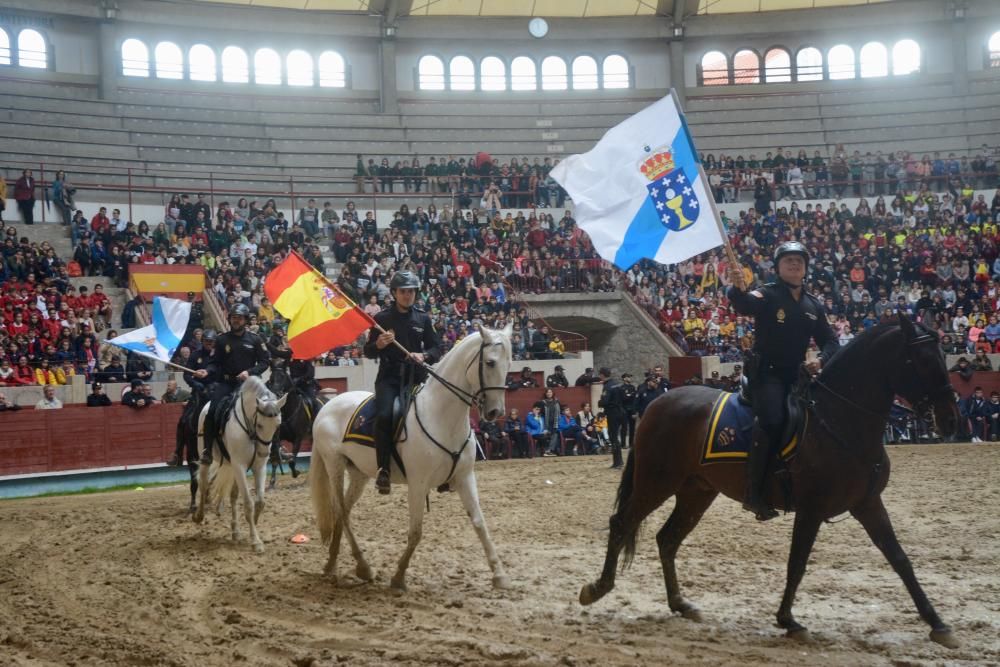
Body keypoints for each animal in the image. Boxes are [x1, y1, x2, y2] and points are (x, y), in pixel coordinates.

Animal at [192, 376, 288, 552]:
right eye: (260, 425)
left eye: (277, 425)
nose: (264, 453)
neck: (250, 430)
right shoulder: (240, 467)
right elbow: (249, 503)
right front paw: (256, 541)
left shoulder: (259, 467)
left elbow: (260, 501)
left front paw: (255, 522)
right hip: (208, 459)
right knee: (203, 485)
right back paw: (199, 516)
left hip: (232, 468)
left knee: (233, 496)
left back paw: (235, 531)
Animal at [310, 324, 516, 588]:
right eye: (490, 362)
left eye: (508, 363)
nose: (495, 412)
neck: (442, 416)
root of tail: (327, 405)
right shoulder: (418, 484)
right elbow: (416, 532)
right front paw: (398, 576)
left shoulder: (465, 478)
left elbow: (480, 524)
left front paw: (499, 575)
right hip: (334, 464)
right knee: (342, 513)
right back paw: (363, 567)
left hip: (359, 474)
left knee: (342, 511)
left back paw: (333, 564)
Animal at [584, 316, 964, 648]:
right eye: (920, 360)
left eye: (941, 357)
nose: (950, 420)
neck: (838, 420)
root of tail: (657, 403)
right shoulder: (811, 509)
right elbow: (797, 562)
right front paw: (788, 620)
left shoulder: (867, 503)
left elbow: (900, 559)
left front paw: (938, 623)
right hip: (656, 483)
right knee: (621, 523)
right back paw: (598, 587)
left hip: (696, 492)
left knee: (667, 539)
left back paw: (680, 603)